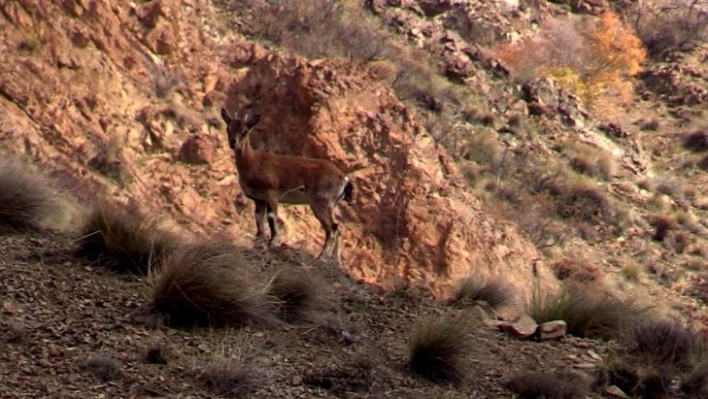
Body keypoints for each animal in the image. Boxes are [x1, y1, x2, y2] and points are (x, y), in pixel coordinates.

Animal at [220, 108, 354, 260]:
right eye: (228, 128)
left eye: (245, 131)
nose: (233, 142)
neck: (253, 162)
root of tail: (344, 178)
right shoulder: (258, 199)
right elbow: (259, 221)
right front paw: (258, 246)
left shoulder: (271, 194)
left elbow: (271, 218)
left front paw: (272, 245)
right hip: (332, 205)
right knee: (339, 227)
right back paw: (335, 260)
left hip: (321, 202)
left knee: (332, 227)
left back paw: (321, 257)